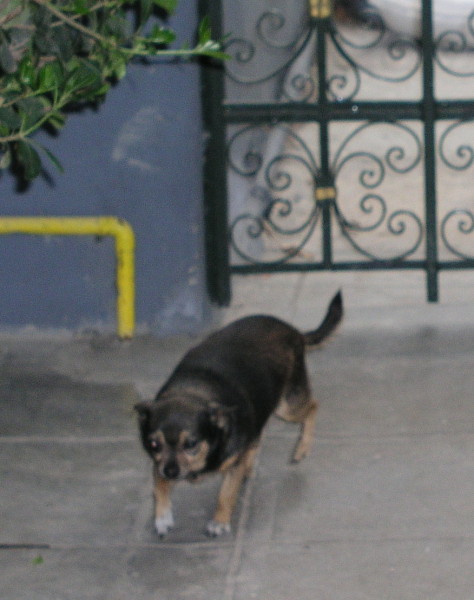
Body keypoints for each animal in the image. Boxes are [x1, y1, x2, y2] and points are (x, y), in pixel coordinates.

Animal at [134, 291, 343, 537]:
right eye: (153, 444)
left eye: (191, 444)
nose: (171, 471)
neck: (194, 392)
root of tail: (294, 331)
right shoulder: (159, 464)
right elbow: (159, 486)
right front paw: (162, 515)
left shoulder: (231, 467)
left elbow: (226, 495)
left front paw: (220, 521)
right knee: (258, 435)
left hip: (287, 407)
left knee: (313, 406)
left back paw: (302, 448)